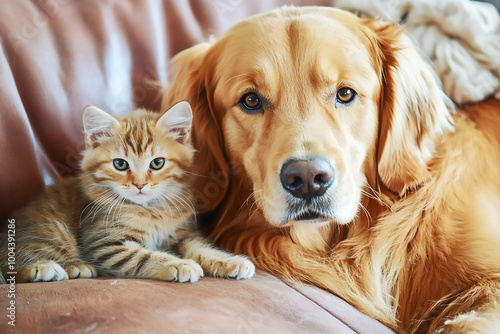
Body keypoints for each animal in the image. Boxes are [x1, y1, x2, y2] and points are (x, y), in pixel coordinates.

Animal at [0, 101, 254, 282]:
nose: (139, 184)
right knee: (8, 269)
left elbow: (201, 248)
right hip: (51, 229)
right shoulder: (106, 243)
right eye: (120, 164)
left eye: (157, 163)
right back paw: (47, 267)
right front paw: (178, 264)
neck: (150, 209)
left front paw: (230, 261)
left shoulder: (182, 234)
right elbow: (143, 256)